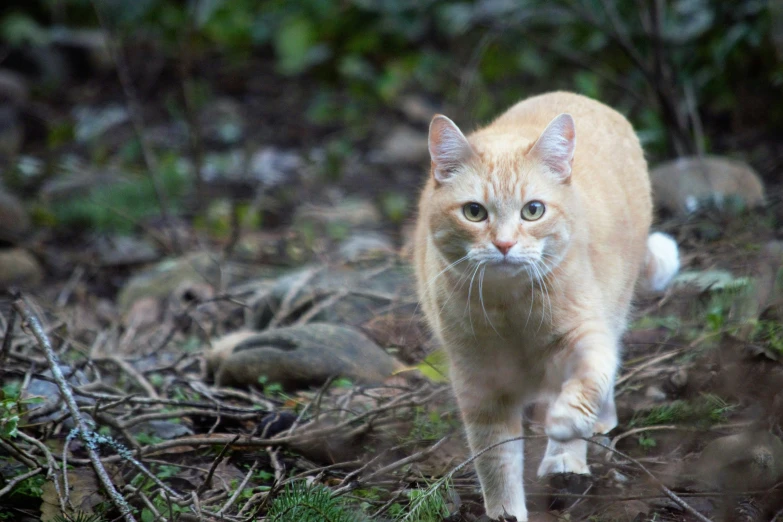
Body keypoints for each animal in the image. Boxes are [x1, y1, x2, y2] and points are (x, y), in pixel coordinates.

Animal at [414, 91, 676, 516]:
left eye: (533, 210)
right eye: (474, 212)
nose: (504, 244)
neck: (511, 310)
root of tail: (582, 97)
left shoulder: (588, 336)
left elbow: (588, 381)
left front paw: (566, 436)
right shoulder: (479, 384)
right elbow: (496, 460)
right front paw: (506, 513)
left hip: (613, 311)